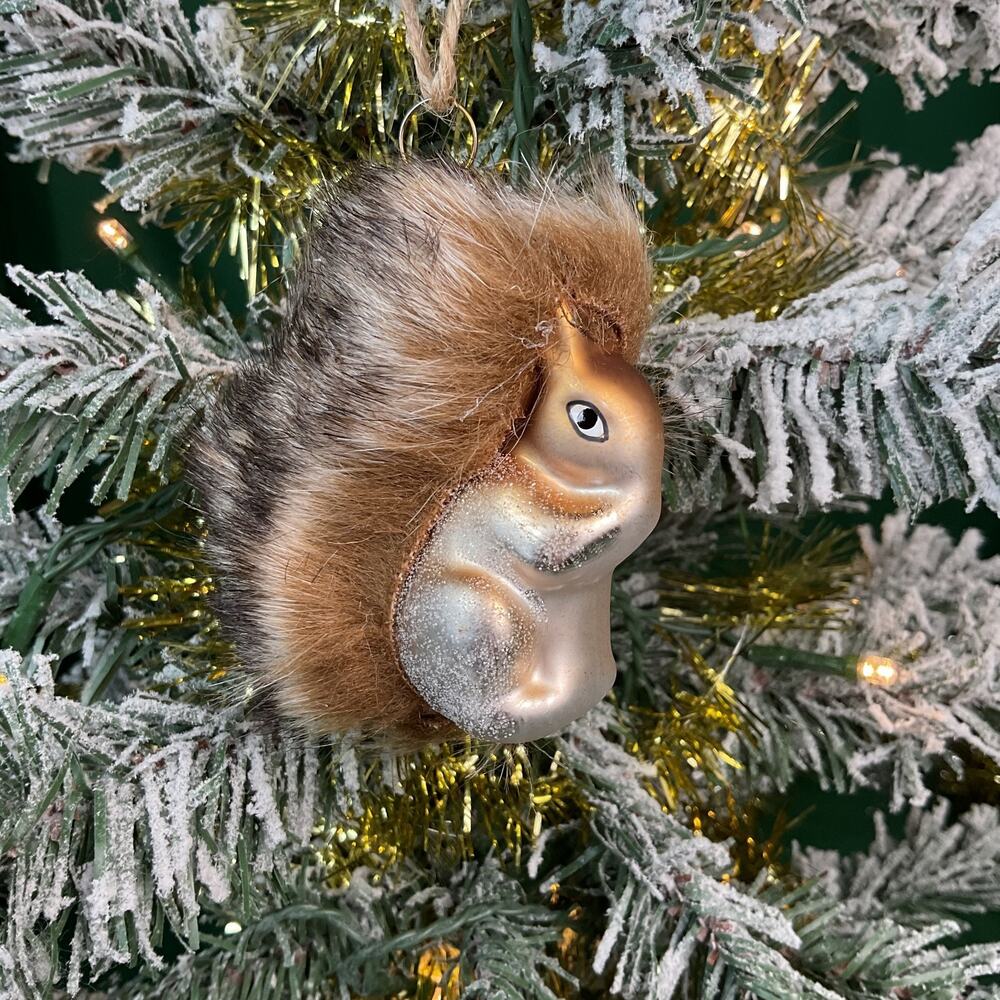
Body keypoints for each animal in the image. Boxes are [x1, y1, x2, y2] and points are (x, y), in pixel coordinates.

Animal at [189, 159, 659, 745]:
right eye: (586, 419)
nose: (648, 489)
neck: (560, 477)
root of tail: (430, 708)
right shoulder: (506, 505)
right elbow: (543, 546)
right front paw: (619, 521)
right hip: (481, 623)